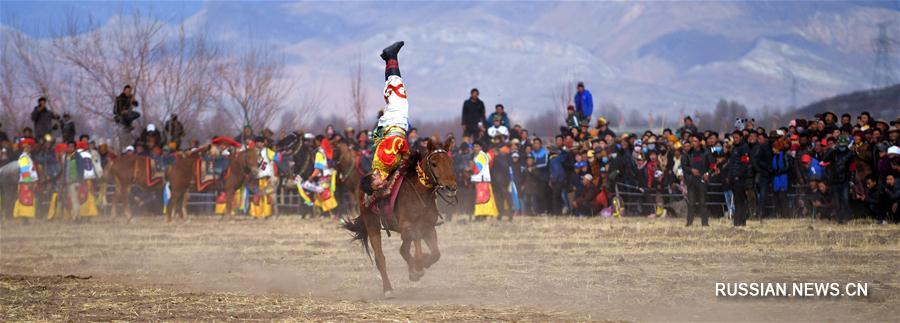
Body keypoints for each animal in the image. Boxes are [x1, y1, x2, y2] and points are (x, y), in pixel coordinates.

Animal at [342, 140, 460, 298]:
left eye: (450, 162)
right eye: (434, 163)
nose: (451, 187)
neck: (420, 193)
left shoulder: (428, 227)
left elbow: (435, 254)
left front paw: (419, 266)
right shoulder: (409, 226)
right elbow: (415, 246)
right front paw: (418, 267)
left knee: (404, 249)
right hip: (372, 224)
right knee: (380, 258)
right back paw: (388, 289)